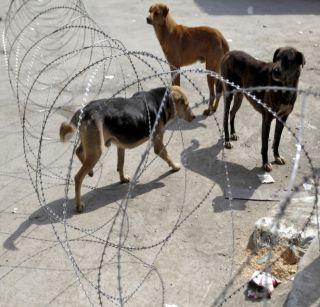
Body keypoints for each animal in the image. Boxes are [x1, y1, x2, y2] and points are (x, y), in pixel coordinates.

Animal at [59, 85, 195, 213]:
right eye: (186, 104)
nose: (194, 117)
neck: (160, 100)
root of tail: (85, 110)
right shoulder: (157, 143)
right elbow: (167, 155)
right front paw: (175, 166)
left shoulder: (120, 145)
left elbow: (121, 164)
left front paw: (123, 178)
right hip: (96, 150)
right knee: (78, 177)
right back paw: (78, 205)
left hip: (90, 144)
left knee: (78, 151)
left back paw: (91, 172)